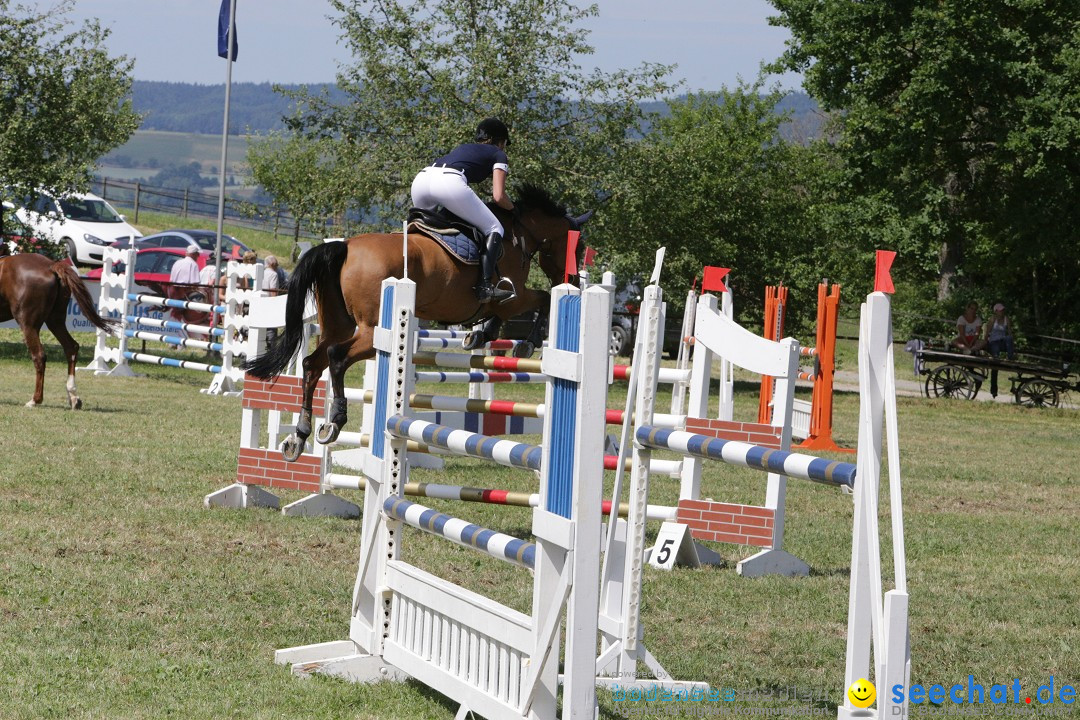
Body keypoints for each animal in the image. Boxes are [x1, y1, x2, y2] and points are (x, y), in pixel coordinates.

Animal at [0, 253, 119, 410]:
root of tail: (51, 265)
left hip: (28, 324)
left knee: (39, 356)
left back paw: (35, 400)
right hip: (55, 321)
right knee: (71, 347)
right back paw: (73, 397)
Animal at [245, 181, 591, 462]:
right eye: (578, 247)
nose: (574, 279)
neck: (519, 234)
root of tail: (345, 246)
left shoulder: (503, 302)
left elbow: (509, 312)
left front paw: (479, 335)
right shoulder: (512, 296)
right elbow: (542, 300)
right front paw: (526, 344)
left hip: (337, 324)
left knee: (312, 363)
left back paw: (299, 436)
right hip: (371, 333)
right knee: (336, 357)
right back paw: (334, 421)